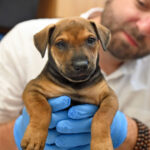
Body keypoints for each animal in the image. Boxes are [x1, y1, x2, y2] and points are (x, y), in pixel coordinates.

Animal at [21, 17, 118, 150]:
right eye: (60, 44)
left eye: (91, 40)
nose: (81, 65)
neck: (75, 84)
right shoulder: (33, 88)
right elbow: (42, 108)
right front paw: (34, 137)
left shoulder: (110, 96)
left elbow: (102, 116)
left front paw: (101, 144)